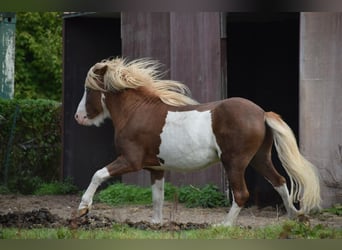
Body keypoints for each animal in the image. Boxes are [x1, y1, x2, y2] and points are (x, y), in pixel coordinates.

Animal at [74, 57, 320, 226]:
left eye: (87, 89)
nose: (78, 117)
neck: (136, 112)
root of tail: (261, 113)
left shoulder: (130, 160)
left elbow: (98, 174)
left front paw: (82, 209)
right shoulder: (156, 168)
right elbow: (157, 197)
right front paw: (155, 224)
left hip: (234, 162)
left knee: (242, 194)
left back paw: (224, 226)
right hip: (260, 158)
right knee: (279, 181)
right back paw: (295, 217)